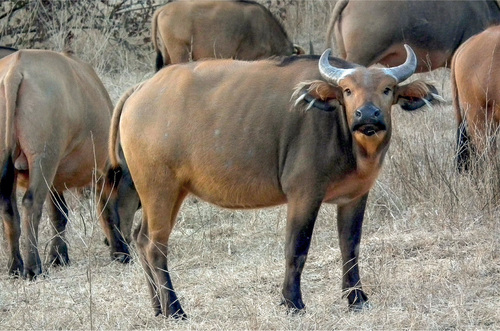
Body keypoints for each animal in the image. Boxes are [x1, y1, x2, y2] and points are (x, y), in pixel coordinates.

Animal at [0, 48, 117, 278]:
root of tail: (16, 67)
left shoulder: (55, 180)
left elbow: (58, 214)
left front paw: (58, 256)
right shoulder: (100, 174)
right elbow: (107, 211)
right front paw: (121, 252)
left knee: (8, 208)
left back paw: (15, 266)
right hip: (44, 158)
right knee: (31, 204)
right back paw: (33, 267)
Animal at [109, 45, 438, 318]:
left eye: (387, 89)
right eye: (347, 90)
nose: (367, 115)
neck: (346, 136)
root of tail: (140, 89)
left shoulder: (355, 196)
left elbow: (350, 246)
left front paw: (356, 299)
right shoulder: (304, 194)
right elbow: (297, 247)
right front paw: (292, 302)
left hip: (170, 192)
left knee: (141, 238)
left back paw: (158, 308)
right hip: (159, 188)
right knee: (155, 246)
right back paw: (175, 309)